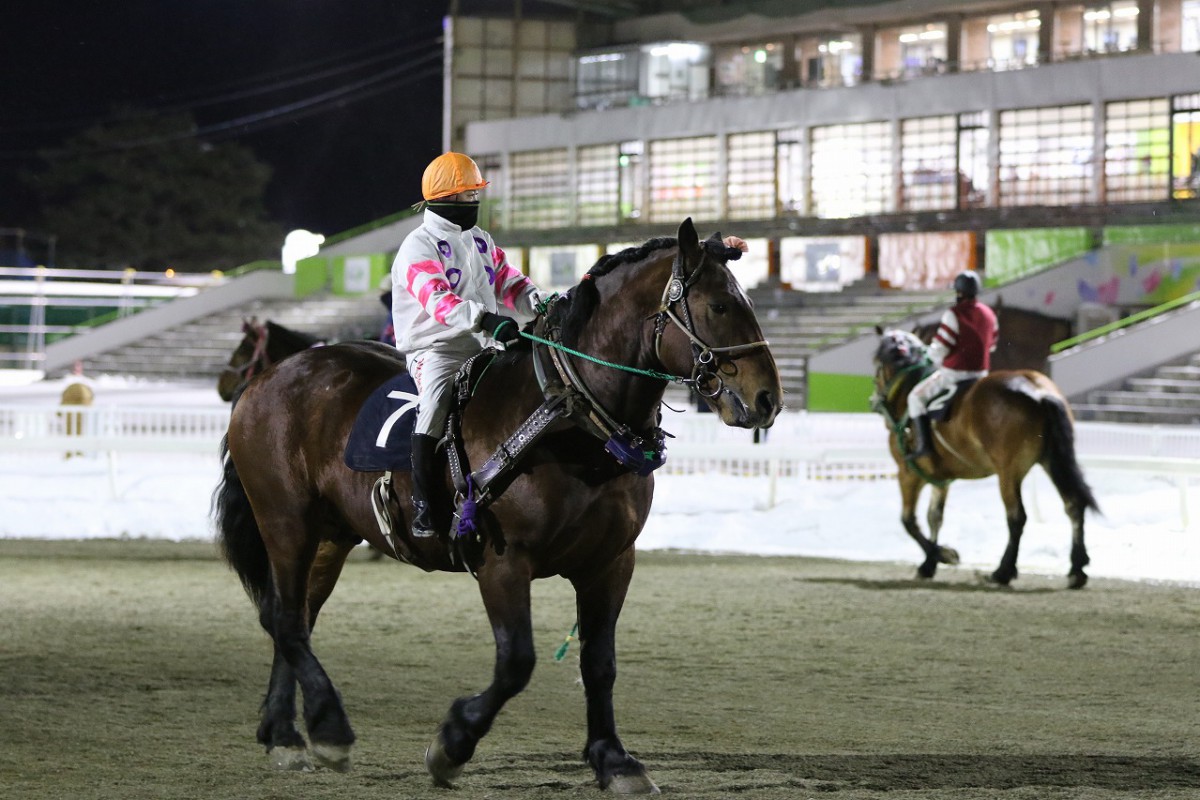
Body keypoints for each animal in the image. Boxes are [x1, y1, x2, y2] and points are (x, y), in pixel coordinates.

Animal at [212, 219, 782, 796]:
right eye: (718, 306)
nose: (767, 399)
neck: (565, 418)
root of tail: (267, 381)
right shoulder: (503, 562)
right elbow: (516, 662)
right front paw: (452, 743)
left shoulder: (611, 562)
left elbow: (599, 663)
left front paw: (613, 758)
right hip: (287, 524)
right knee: (285, 619)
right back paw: (328, 725)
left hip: (330, 536)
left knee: (296, 618)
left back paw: (284, 732)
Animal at [868, 328, 1099, 592]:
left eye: (876, 364)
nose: (873, 399)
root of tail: (1037, 390)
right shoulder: (941, 479)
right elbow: (934, 517)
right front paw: (930, 563)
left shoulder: (907, 474)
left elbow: (909, 521)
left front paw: (942, 555)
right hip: (1052, 462)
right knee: (1073, 505)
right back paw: (1076, 570)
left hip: (1009, 473)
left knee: (1016, 517)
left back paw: (1003, 572)